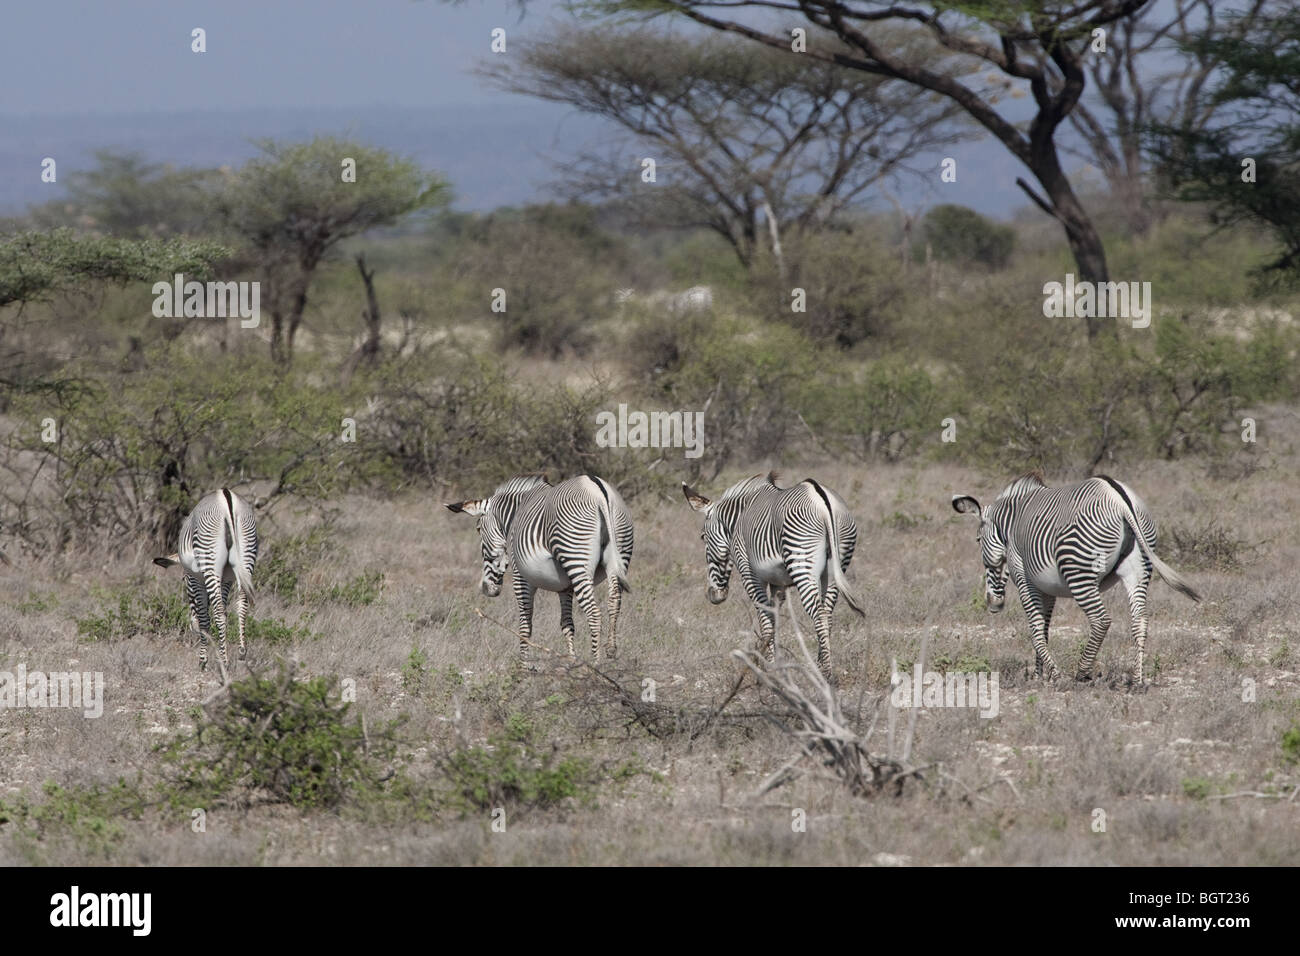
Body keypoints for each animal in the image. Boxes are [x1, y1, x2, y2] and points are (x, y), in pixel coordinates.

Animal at [153, 494, 260, 671]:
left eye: (183, 579)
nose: (191, 627)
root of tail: (227, 499)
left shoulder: (196, 579)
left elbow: (204, 617)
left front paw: (203, 660)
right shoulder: (226, 579)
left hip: (209, 559)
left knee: (218, 613)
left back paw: (224, 661)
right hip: (247, 555)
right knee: (242, 606)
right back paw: (241, 653)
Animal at [444, 473, 631, 665]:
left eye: (478, 529)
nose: (485, 589)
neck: (515, 513)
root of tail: (598, 492)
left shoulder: (521, 577)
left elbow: (525, 624)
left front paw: (524, 665)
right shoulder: (565, 586)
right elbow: (567, 624)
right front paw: (572, 661)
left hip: (576, 558)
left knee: (594, 613)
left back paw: (596, 663)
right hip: (620, 551)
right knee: (614, 602)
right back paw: (610, 652)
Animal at [681, 476, 863, 676]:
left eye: (703, 537)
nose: (713, 595)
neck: (739, 518)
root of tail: (821, 499)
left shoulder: (750, 574)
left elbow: (765, 619)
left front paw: (769, 669)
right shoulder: (779, 583)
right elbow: (774, 618)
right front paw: (776, 663)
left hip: (802, 562)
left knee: (820, 616)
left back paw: (825, 675)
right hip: (836, 565)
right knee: (828, 615)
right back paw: (820, 664)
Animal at [951, 473, 1201, 686]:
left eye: (977, 540)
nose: (993, 604)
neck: (1010, 524)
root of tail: (1120, 499)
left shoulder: (1024, 578)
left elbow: (1035, 628)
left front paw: (1054, 675)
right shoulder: (1047, 589)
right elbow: (1045, 630)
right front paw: (1040, 676)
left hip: (1078, 571)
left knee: (1101, 620)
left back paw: (1082, 673)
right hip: (1138, 568)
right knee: (1140, 620)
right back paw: (1137, 680)